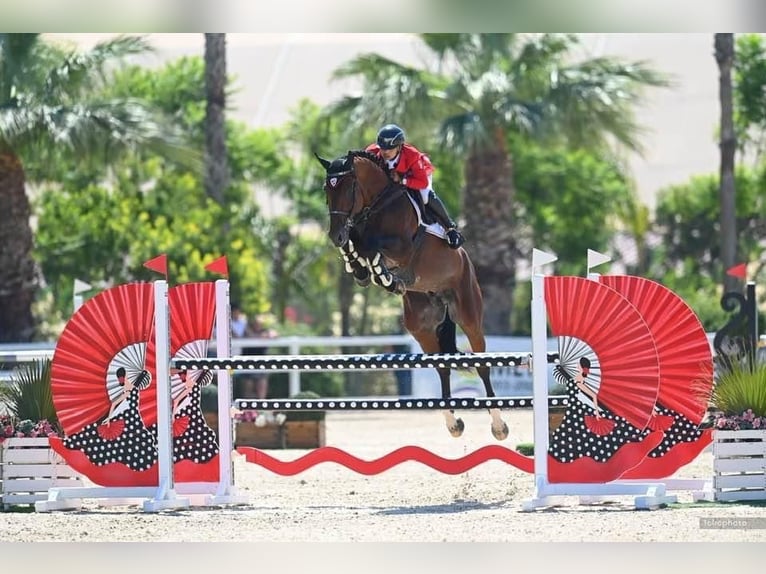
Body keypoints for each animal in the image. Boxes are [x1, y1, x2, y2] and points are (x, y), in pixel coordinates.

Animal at [314, 149, 509, 441]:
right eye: (327, 189)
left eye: (348, 188)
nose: (334, 235)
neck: (378, 204)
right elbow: (358, 248)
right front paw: (363, 268)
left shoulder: (402, 247)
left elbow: (373, 246)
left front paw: (382, 274)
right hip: (421, 326)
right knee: (442, 366)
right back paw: (453, 423)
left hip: (469, 313)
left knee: (482, 363)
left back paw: (498, 425)